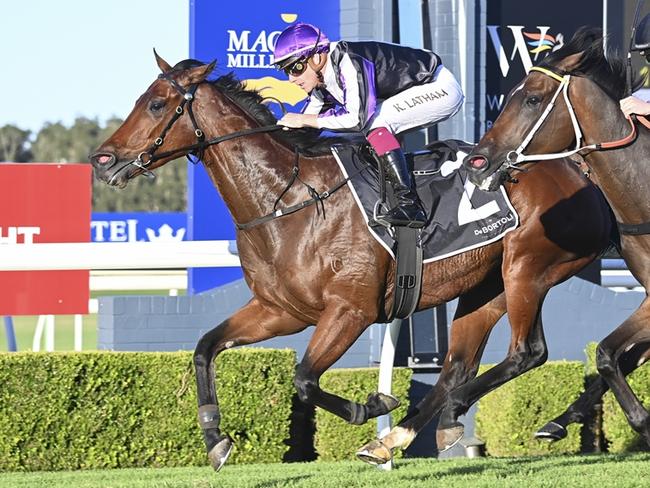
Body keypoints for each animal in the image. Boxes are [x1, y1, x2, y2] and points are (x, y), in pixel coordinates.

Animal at [91, 50, 612, 468]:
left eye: (157, 104)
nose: (102, 159)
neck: (288, 200)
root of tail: (577, 169)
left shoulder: (351, 310)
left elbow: (303, 378)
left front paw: (371, 405)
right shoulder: (279, 311)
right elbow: (205, 347)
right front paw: (215, 439)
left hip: (527, 270)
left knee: (526, 353)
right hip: (486, 286)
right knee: (456, 368)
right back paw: (411, 434)